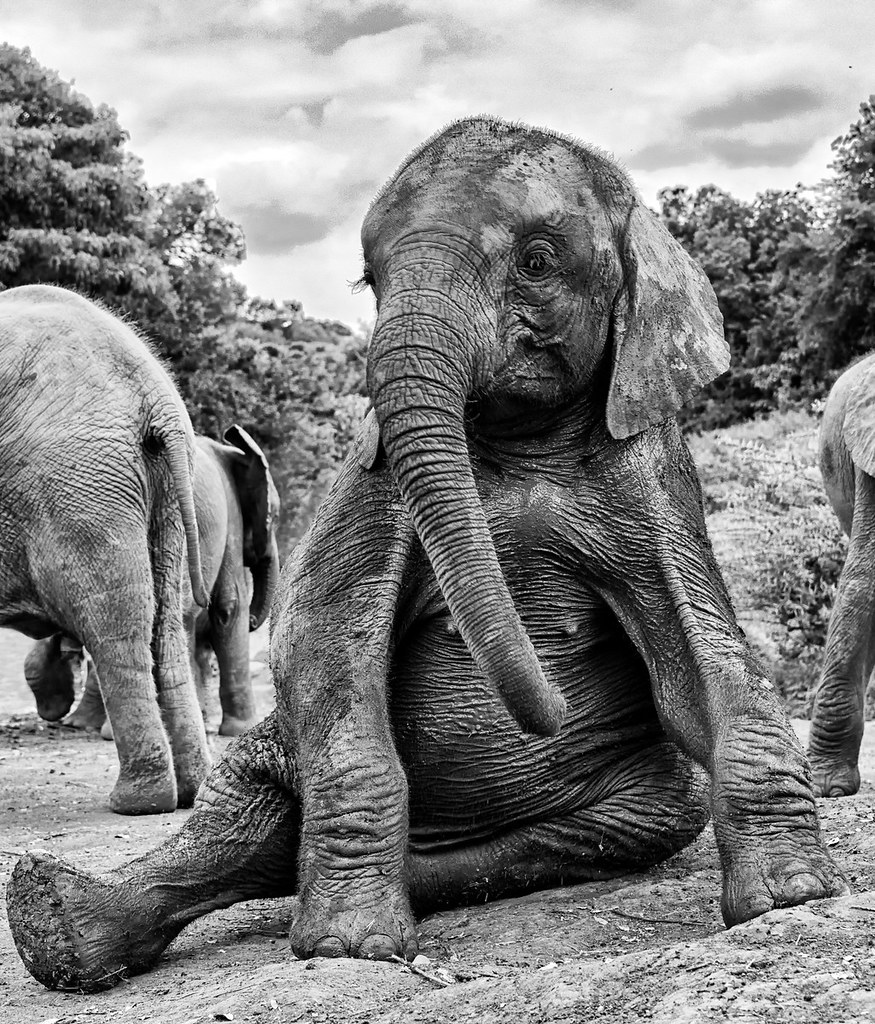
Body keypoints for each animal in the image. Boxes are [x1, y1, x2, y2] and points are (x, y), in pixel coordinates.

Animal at [0, 284, 211, 815]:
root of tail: (155, 396)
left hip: (78, 484)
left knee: (115, 625)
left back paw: (139, 802)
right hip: (162, 494)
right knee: (166, 628)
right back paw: (191, 792)